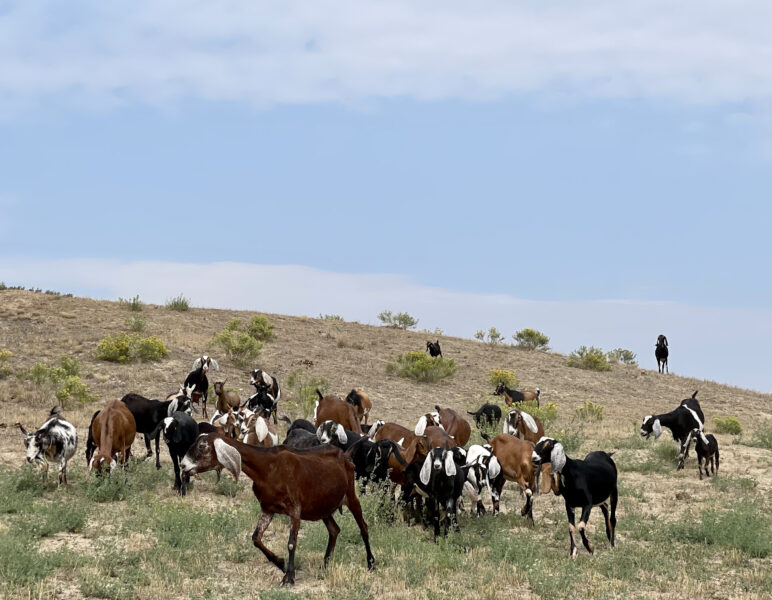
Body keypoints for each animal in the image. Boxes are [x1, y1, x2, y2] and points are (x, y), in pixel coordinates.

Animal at [181, 434, 374, 584]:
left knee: (363, 527)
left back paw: (371, 563)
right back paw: (325, 565)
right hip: (322, 507)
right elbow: (256, 538)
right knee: (334, 529)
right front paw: (281, 564)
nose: (183, 465)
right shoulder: (268, 509)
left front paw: (289, 577)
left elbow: (291, 543)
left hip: (350, 496)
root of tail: (345, 455)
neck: (267, 467)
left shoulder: (295, 509)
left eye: (202, 446)